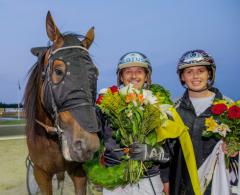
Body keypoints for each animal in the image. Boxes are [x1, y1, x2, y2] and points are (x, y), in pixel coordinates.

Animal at [23, 11, 100, 194]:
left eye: (95, 73)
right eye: (58, 71)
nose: (87, 145)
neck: (51, 138)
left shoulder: (78, 171)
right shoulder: (41, 173)